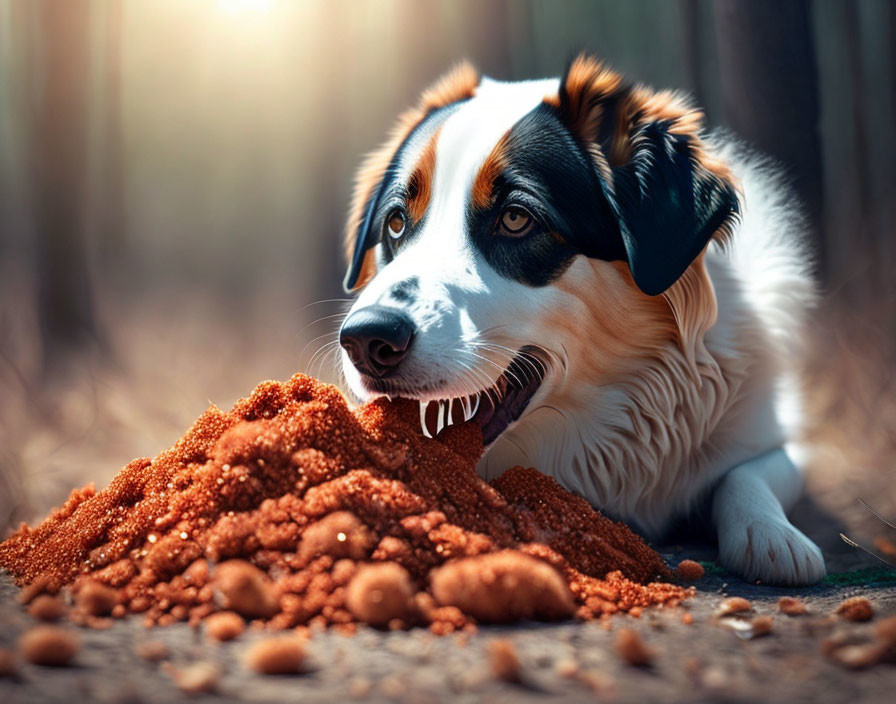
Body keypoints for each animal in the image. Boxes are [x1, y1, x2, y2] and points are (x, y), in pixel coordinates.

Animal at [336, 55, 824, 584]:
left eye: (515, 218)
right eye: (396, 222)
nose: (368, 339)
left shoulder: (778, 436)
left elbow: (746, 473)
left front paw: (770, 534)